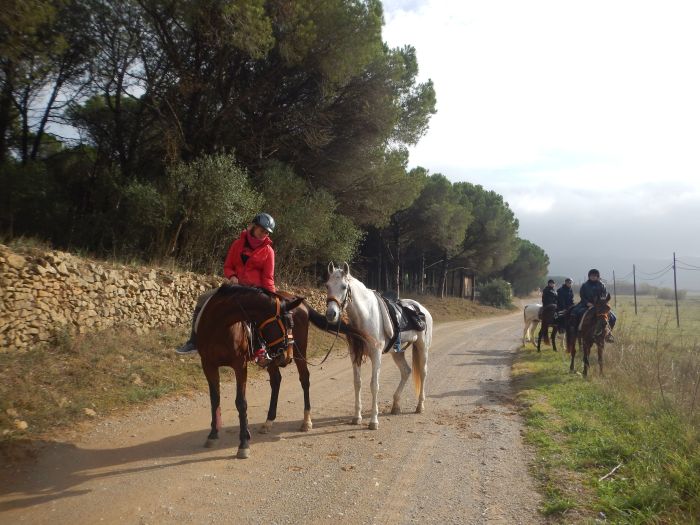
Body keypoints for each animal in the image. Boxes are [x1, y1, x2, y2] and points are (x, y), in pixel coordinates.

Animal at [196, 282, 372, 458]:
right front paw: (213, 435)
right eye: (287, 324)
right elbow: (214, 399)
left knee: (304, 379)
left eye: (291, 325)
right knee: (276, 381)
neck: (219, 327)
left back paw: (306, 421)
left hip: (299, 351)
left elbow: (241, 402)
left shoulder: (240, 365)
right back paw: (268, 421)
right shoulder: (208, 365)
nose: (287, 356)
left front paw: (244, 443)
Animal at [324, 262, 432, 430]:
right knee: (406, 371)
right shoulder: (355, 355)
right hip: (397, 352)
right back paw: (395, 406)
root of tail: (421, 309)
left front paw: (373, 421)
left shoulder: (376, 354)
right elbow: (357, 383)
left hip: (422, 348)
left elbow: (374, 385)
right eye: (327, 285)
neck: (366, 315)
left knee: (423, 372)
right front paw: (357, 417)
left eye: (343, 286)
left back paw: (420, 406)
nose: (331, 314)